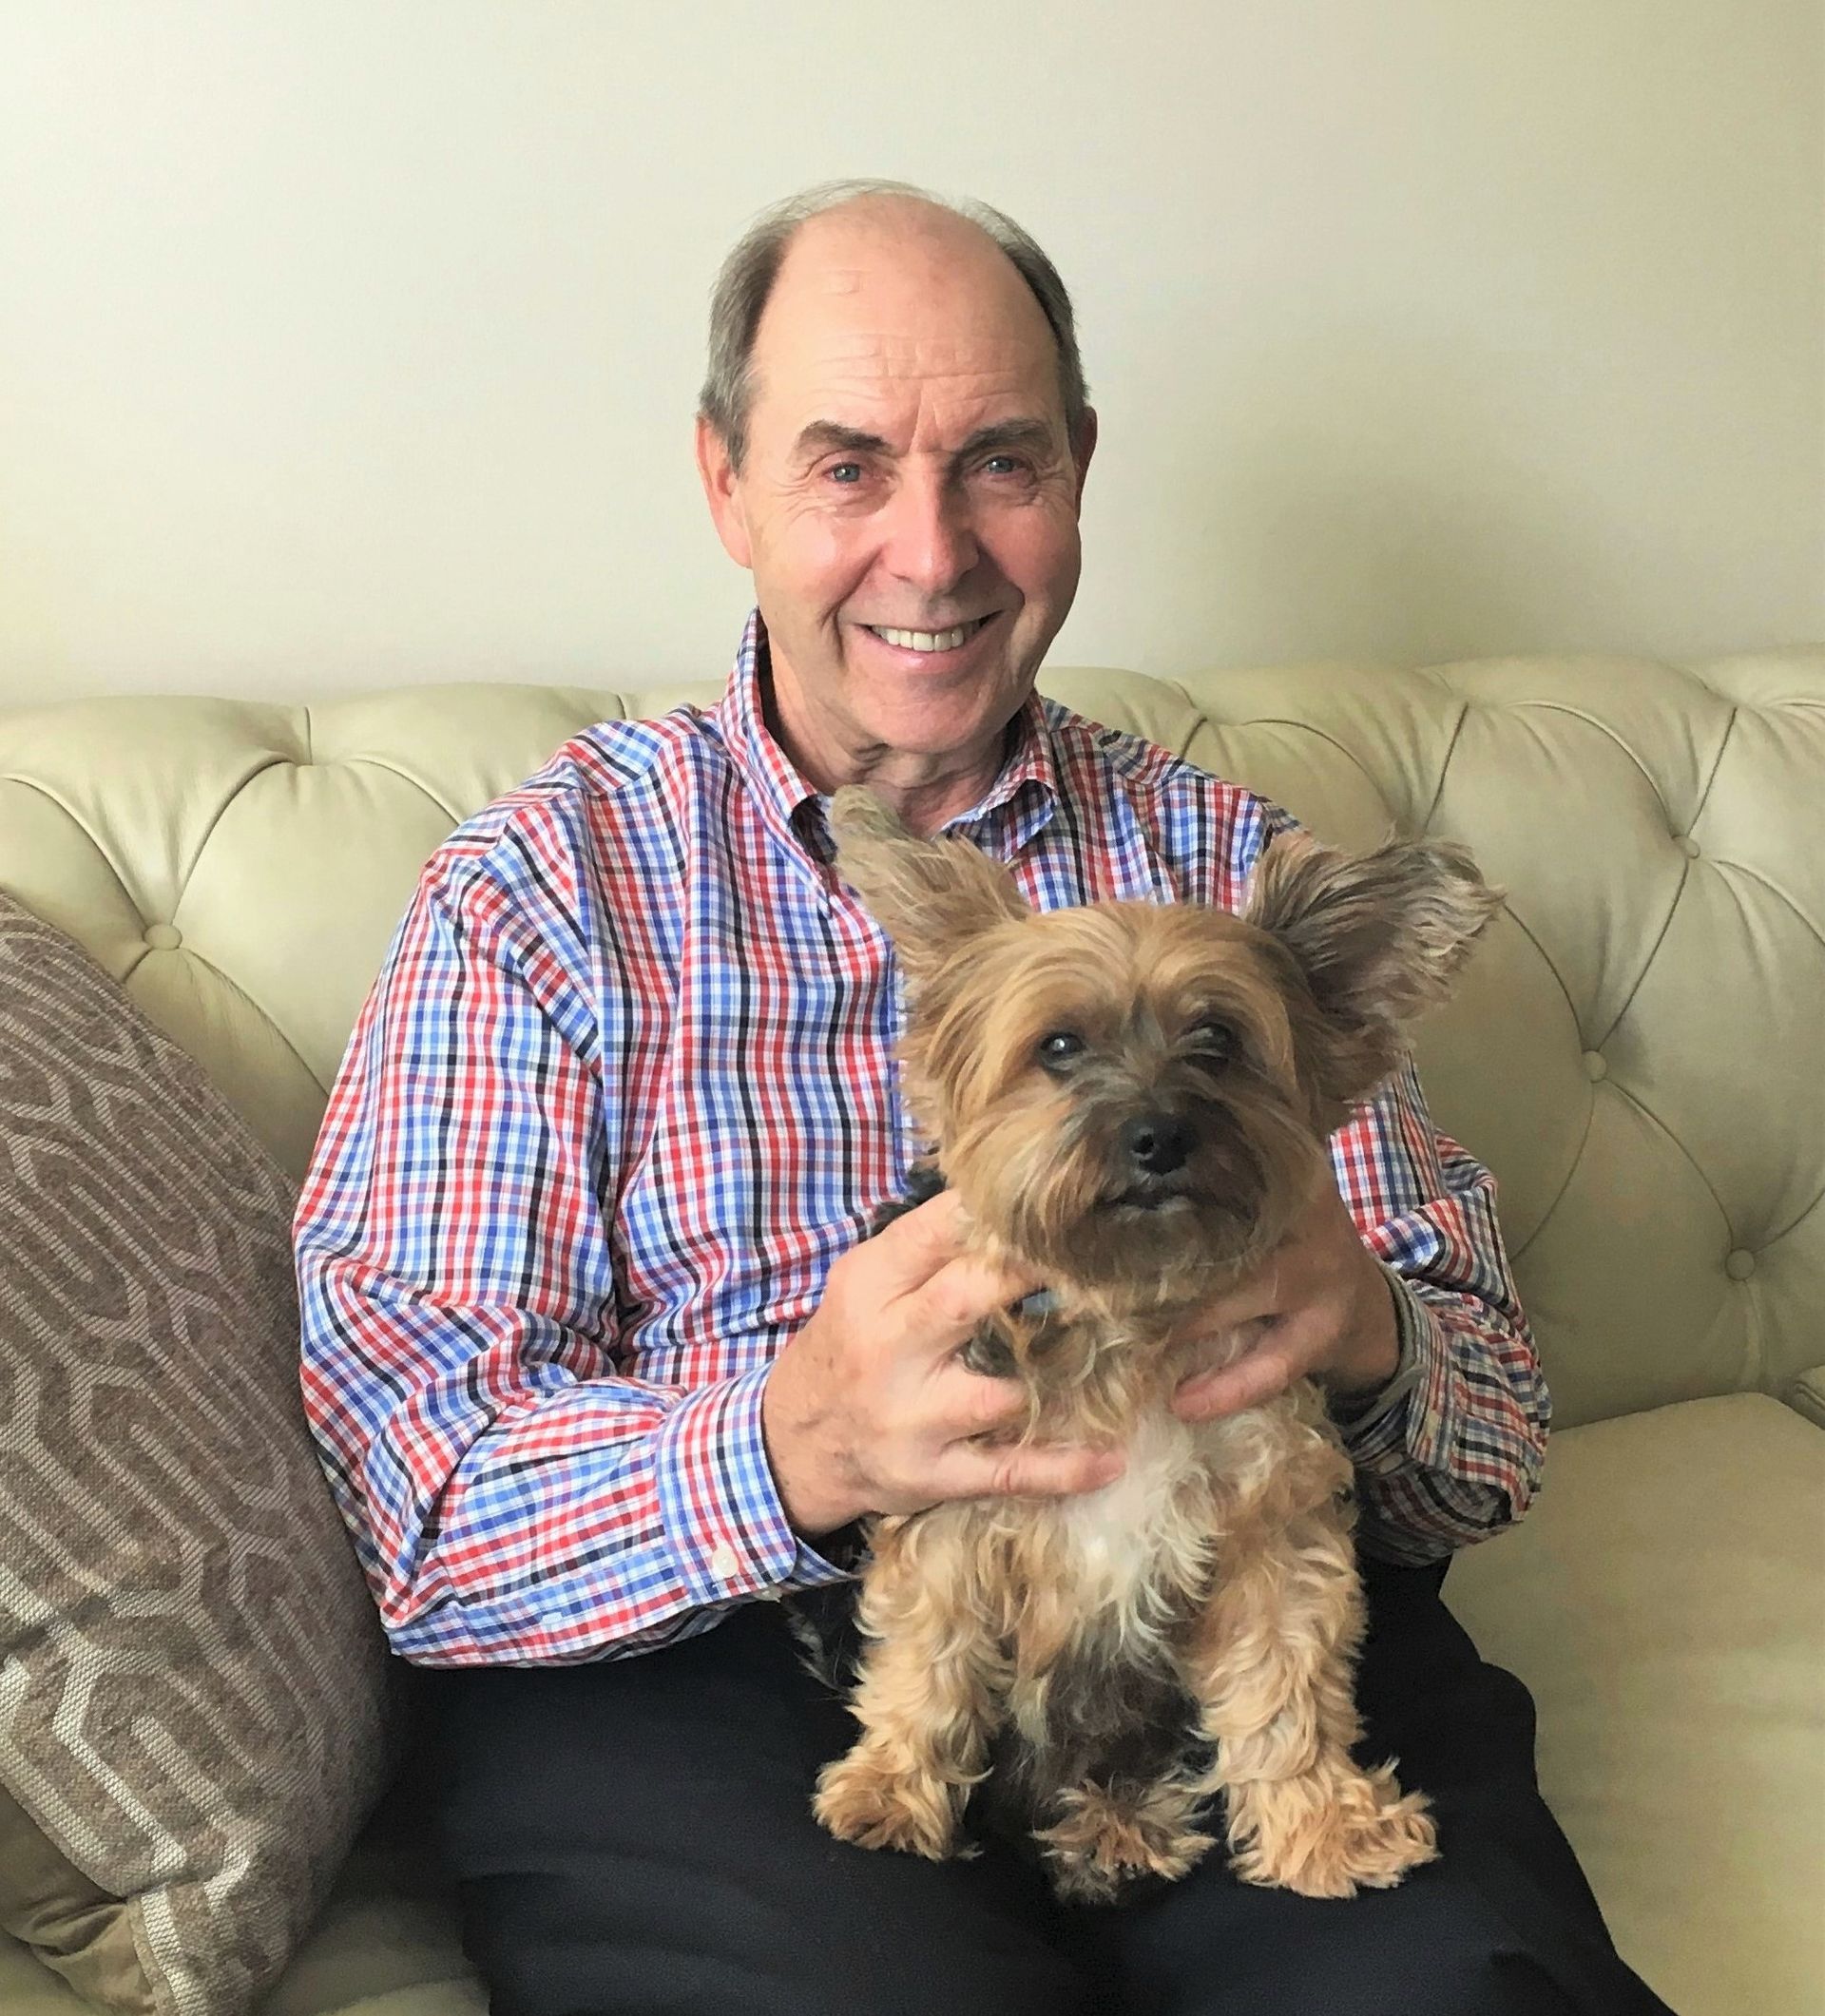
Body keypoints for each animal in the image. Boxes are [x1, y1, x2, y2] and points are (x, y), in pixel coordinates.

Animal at [806, 786, 1491, 1903]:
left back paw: (1118, 1823)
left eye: (1217, 1038)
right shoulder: (950, 1506)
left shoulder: (1269, 1525)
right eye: (1058, 1048)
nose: (1160, 1134)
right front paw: (892, 1791)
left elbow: (1287, 1684)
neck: (1130, 1315)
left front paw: (1324, 1825)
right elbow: (929, 1659)